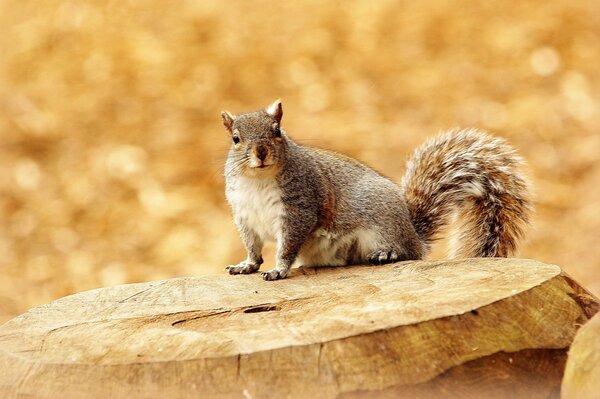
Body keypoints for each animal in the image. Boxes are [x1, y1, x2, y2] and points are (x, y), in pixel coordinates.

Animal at [223, 100, 532, 282]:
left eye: (276, 131)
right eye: (236, 138)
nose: (261, 151)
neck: (258, 180)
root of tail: (413, 233)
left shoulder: (300, 207)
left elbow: (287, 246)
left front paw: (278, 269)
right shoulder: (243, 214)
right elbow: (252, 246)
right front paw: (247, 265)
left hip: (382, 221)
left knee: (408, 252)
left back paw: (388, 254)